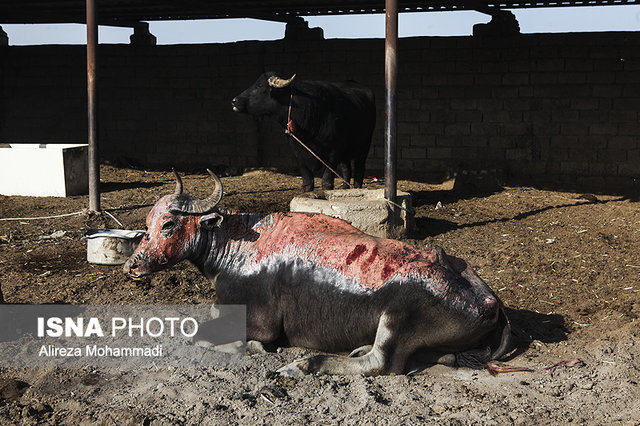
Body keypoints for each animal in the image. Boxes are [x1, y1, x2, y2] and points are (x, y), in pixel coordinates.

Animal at [125, 170, 512, 376]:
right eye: (147, 223)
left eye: (169, 224)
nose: (133, 264)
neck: (238, 246)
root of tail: (489, 301)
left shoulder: (261, 322)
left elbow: (200, 335)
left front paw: (252, 348)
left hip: (396, 318)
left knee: (380, 364)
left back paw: (303, 364)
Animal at [232, 73, 376, 191]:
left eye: (259, 86)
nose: (234, 101)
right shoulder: (296, 147)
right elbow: (305, 173)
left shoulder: (335, 149)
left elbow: (328, 176)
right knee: (347, 169)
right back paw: (345, 187)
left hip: (365, 145)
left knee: (359, 167)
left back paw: (356, 187)